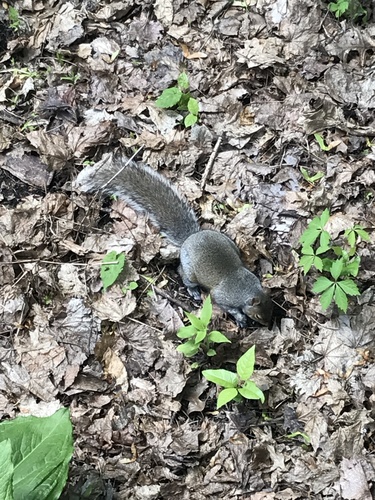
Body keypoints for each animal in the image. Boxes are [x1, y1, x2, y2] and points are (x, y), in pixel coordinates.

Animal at [76, 152, 274, 326]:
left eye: (271, 309)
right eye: (258, 315)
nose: (267, 324)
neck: (245, 288)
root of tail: (191, 237)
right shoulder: (222, 296)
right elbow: (226, 305)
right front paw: (240, 318)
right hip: (190, 271)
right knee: (182, 273)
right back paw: (193, 291)